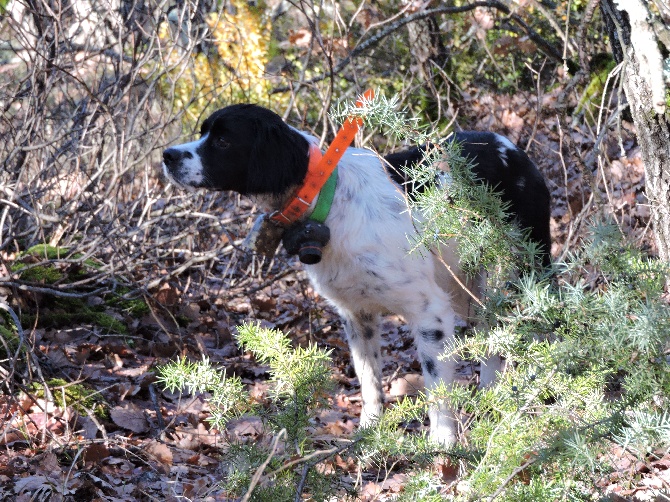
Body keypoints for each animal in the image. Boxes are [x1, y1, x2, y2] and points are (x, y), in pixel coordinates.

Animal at [163, 102, 552, 444]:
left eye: (223, 141)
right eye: (203, 132)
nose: (167, 155)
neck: (327, 198)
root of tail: (515, 149)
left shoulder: (430, 313)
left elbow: (436, 386)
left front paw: (443, 442)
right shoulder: (357, 315)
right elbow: (369, 382)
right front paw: (369, 433)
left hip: (518, 273)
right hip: (470, 288)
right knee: (493, 336)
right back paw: (491, 399)